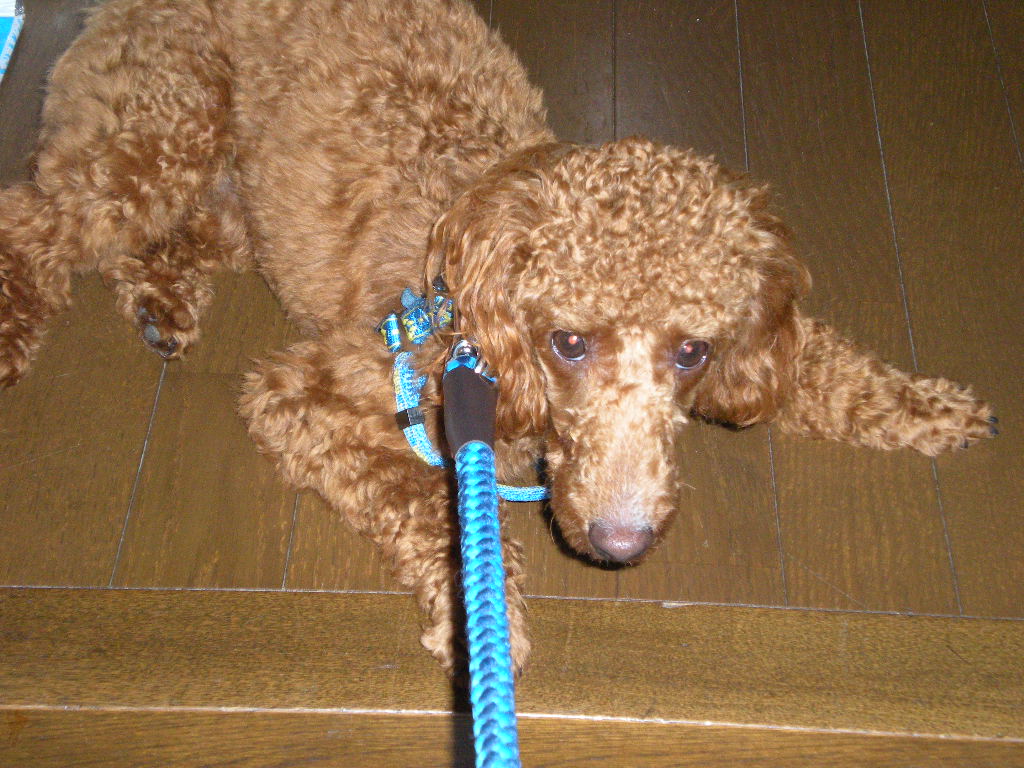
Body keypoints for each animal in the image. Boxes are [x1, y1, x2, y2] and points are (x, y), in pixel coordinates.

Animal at [0, 0, 991, 671]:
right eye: (568, 342)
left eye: (693, 351)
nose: (622, 544)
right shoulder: (312, 391)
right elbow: (420, 502)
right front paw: (485, 615)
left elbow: (823, 367)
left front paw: (931, 408)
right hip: (160, 131)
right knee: (37, 220)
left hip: (240, 199)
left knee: (165, 236)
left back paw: (162, 300)